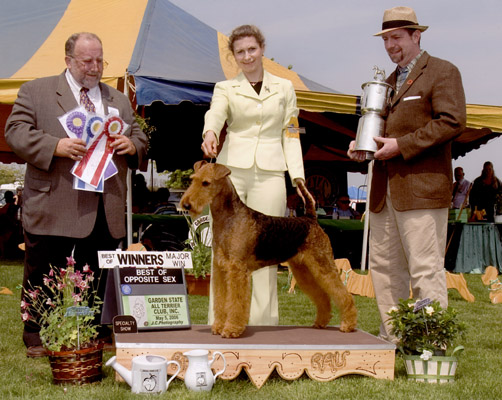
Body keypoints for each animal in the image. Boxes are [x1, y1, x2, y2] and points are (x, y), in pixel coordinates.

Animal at [180, 161, 357, 338]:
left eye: (206, 183)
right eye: (193, 179)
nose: (186, 205)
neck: (229, 217)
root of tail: (311, 219)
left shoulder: (237, 270)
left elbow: (235, 302)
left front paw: (231, 329)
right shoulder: (221, 269)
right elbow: (221, 300)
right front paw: (218, 326)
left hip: (323, 265)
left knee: (344, 295)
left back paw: (348, 325)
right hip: (303, 270)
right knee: (323, 297)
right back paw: (321, 322)